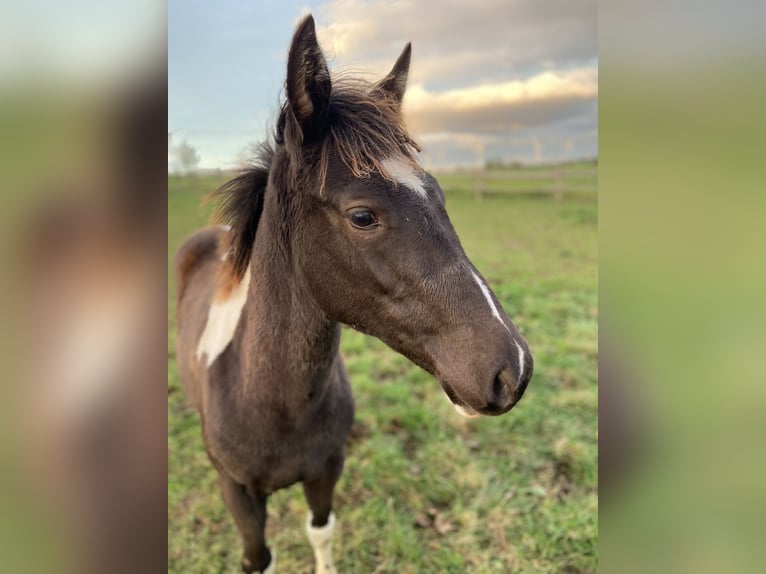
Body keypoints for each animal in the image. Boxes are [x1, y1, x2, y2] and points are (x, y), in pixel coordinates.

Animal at [174, 15, 533, 574]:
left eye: (439, 194)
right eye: (362, 215)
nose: (512, 370)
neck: (270, 402)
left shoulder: (327, 472)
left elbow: (322, 532)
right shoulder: (237, 494)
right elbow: (259, 557)